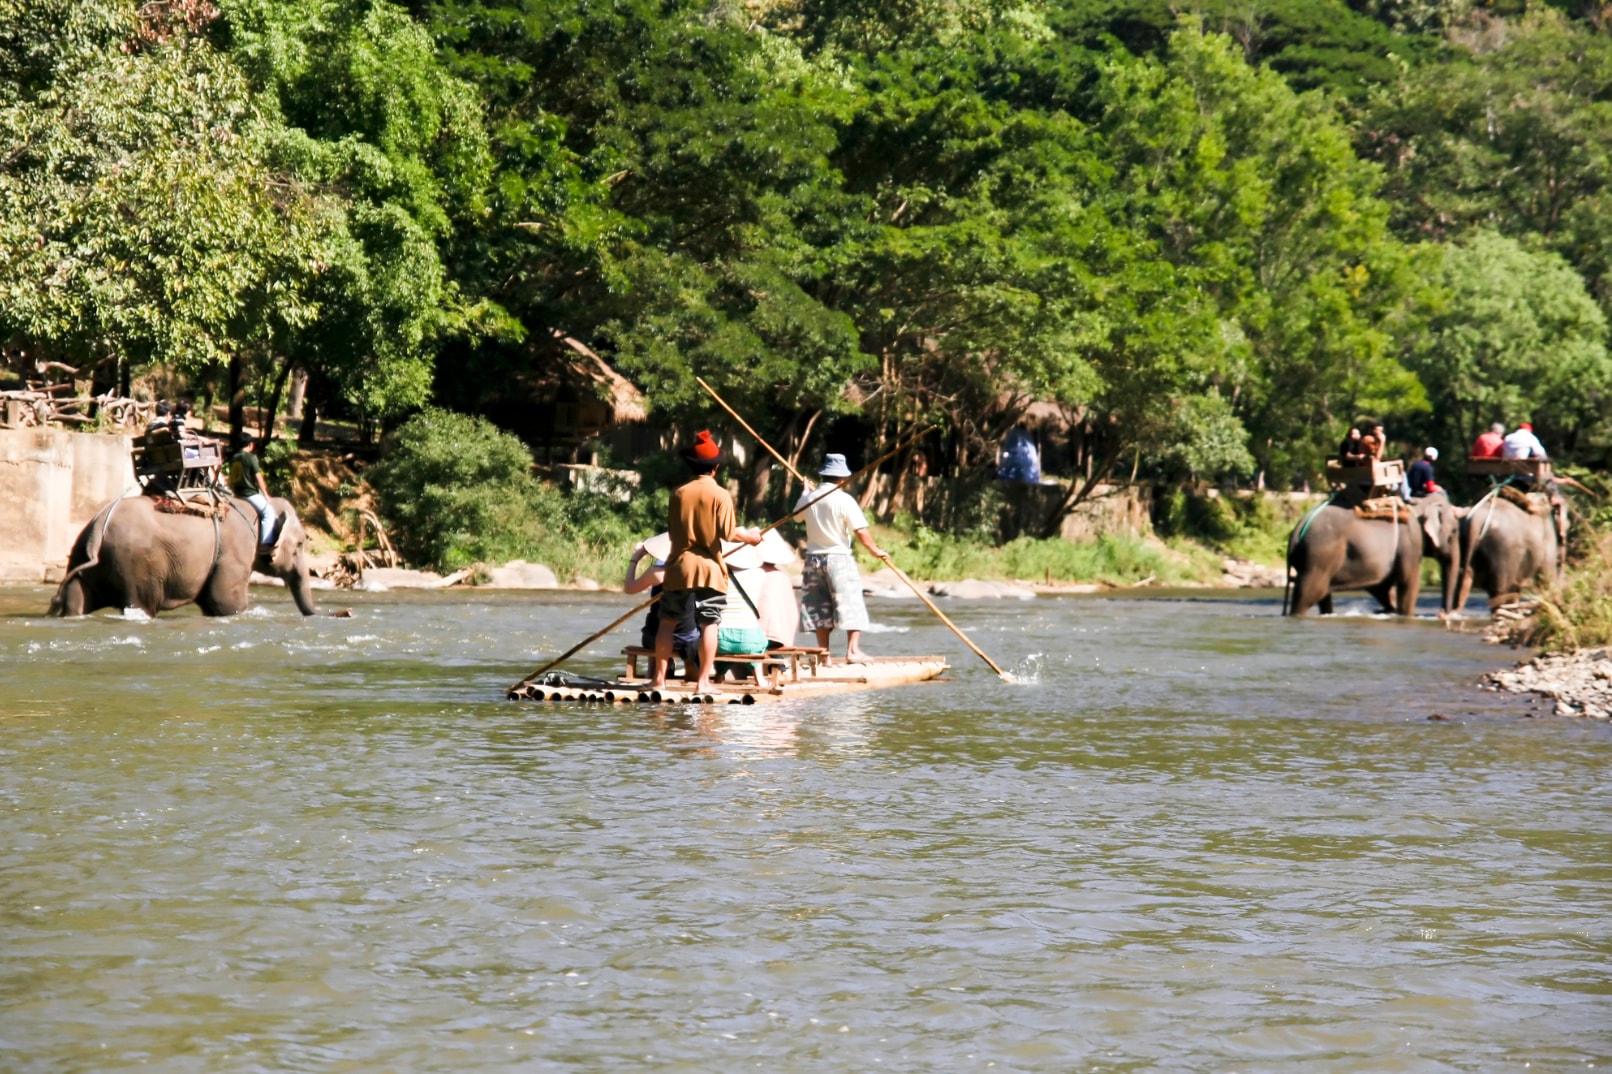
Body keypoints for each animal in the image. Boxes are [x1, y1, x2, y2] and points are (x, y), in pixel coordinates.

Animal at [46, 490, 317, 616]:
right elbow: (225, 601)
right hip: (135, 562)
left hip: (83, 555)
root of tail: (99, 525)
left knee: (76, 599)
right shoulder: (236, 551)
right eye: (300, 544)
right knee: (141, 604)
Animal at [1283, 490, 1463, 616]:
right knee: (1308, 594)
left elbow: (1380, 586)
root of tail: (1299, 528)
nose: (1442, 614)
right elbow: (1408, 582)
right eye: (1454, 531)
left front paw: (1388, 610)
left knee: (1322, 595)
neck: (1420, 504)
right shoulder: (1411, 542)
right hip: (1318, 557)